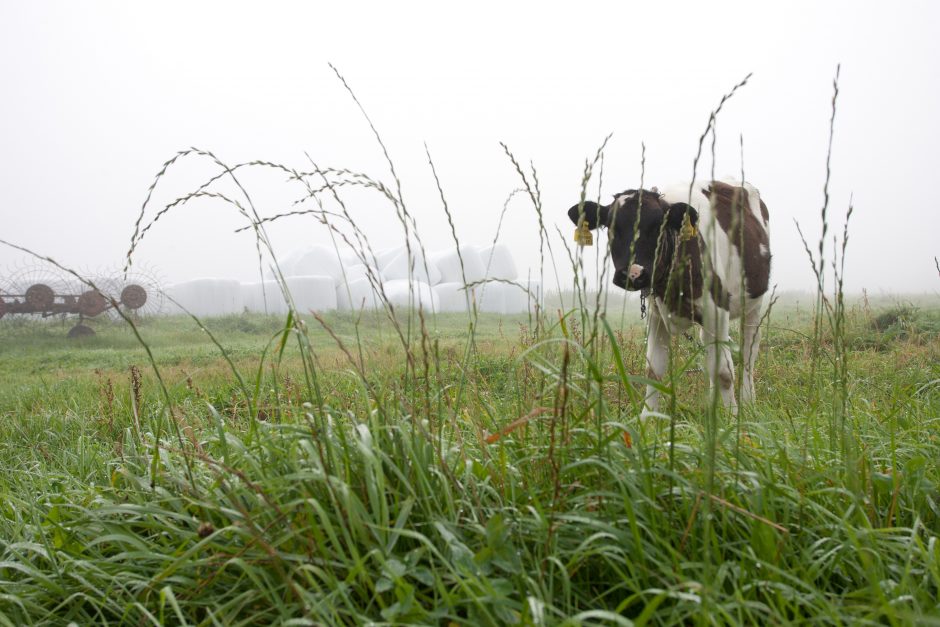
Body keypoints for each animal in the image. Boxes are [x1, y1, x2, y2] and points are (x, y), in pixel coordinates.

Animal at [568, 180, 776, 418]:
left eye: (658, 225)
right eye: (611, 226)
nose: (633, 273)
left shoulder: (717, 311)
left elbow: (724, 372)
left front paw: (733, 418)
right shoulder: (656, 315)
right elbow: (653, 370)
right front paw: (648, 416)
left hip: (753, 305)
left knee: (749, 352)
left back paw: (749, 401)